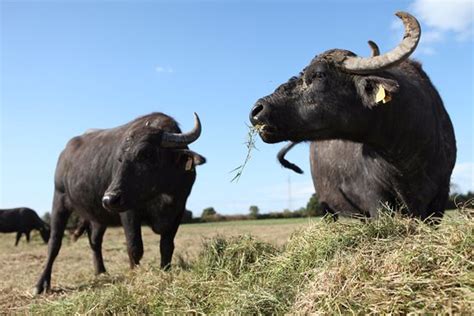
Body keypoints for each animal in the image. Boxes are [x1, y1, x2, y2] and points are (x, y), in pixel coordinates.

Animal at [36, 111, 206, 294]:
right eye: (120, 158)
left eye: (146, 154)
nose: (108, 199)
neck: (162, 195)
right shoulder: (129, 213)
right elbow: (134, 247)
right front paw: (135, 275)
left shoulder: (178, 210)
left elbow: (167, 246)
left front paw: (165, 272)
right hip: (59, 200)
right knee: (54, 243)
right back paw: (41, 284)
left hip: (98, 216)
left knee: (95, 241)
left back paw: (101, 272)